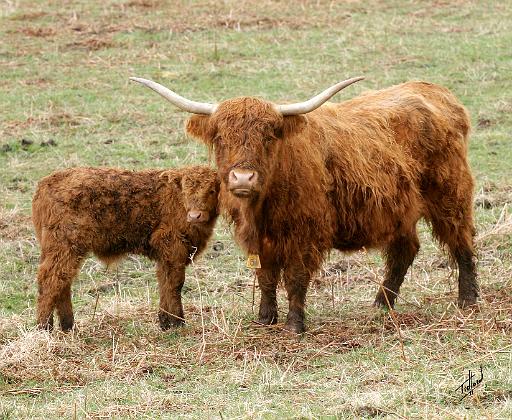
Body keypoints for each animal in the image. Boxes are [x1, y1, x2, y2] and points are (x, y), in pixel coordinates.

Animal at [31, 166, 220, 330]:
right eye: (185, 192)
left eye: (211, 190)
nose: (195, 216)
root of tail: (47, 182)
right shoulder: (173, 249)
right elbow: (175, 284)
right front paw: (177, 322)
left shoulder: (167, 255)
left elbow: (164, 282)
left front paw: (165, 322)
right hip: (65, 246)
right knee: (51, 280)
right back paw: (44, 328)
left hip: (63, 250)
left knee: (63, 281)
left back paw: (67, 326)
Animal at [131, 75, 476, 334]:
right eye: (219, 138)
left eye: (269, 136)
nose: (243, 178)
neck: (262, 208)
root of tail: (435, 91)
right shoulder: (258, 239)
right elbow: (266, 276)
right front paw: (265, 318)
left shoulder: (304, 234)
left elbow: (295, 278)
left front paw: (294, 325)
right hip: (400, 210)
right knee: (406, 249)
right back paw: (381, 304)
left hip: (449, 195)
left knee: (461, 242)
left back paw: (468, 300)